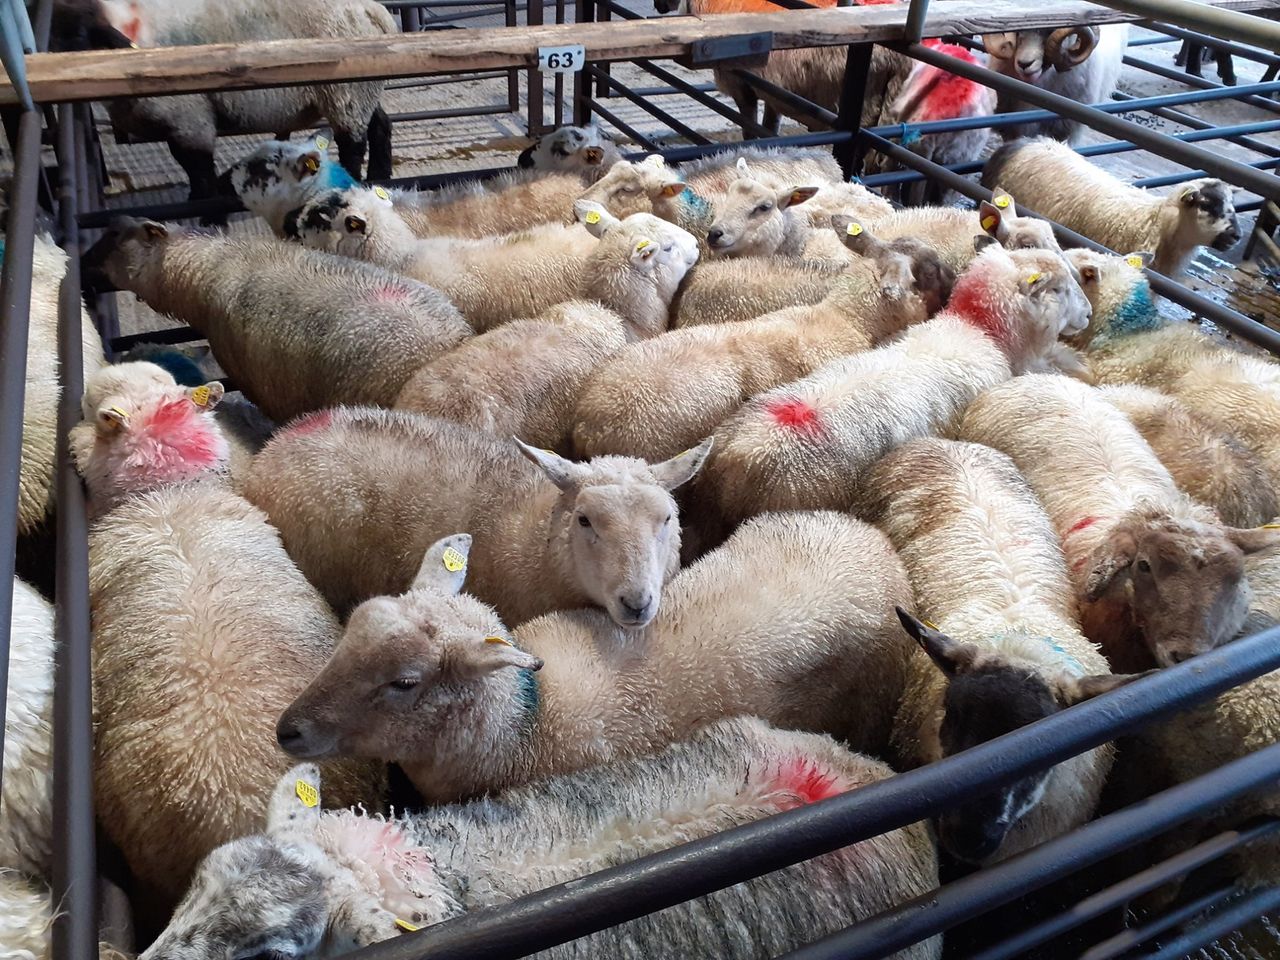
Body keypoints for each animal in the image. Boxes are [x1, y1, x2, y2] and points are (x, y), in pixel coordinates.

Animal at [52, 0, 396, 201]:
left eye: (80, 37)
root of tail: (375, 11)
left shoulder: (190, 119)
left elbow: (198, 170)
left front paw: (203, 209)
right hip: (363, 88)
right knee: (380, 125)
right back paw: (379, 176)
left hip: (345, 92)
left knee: (352, 144)